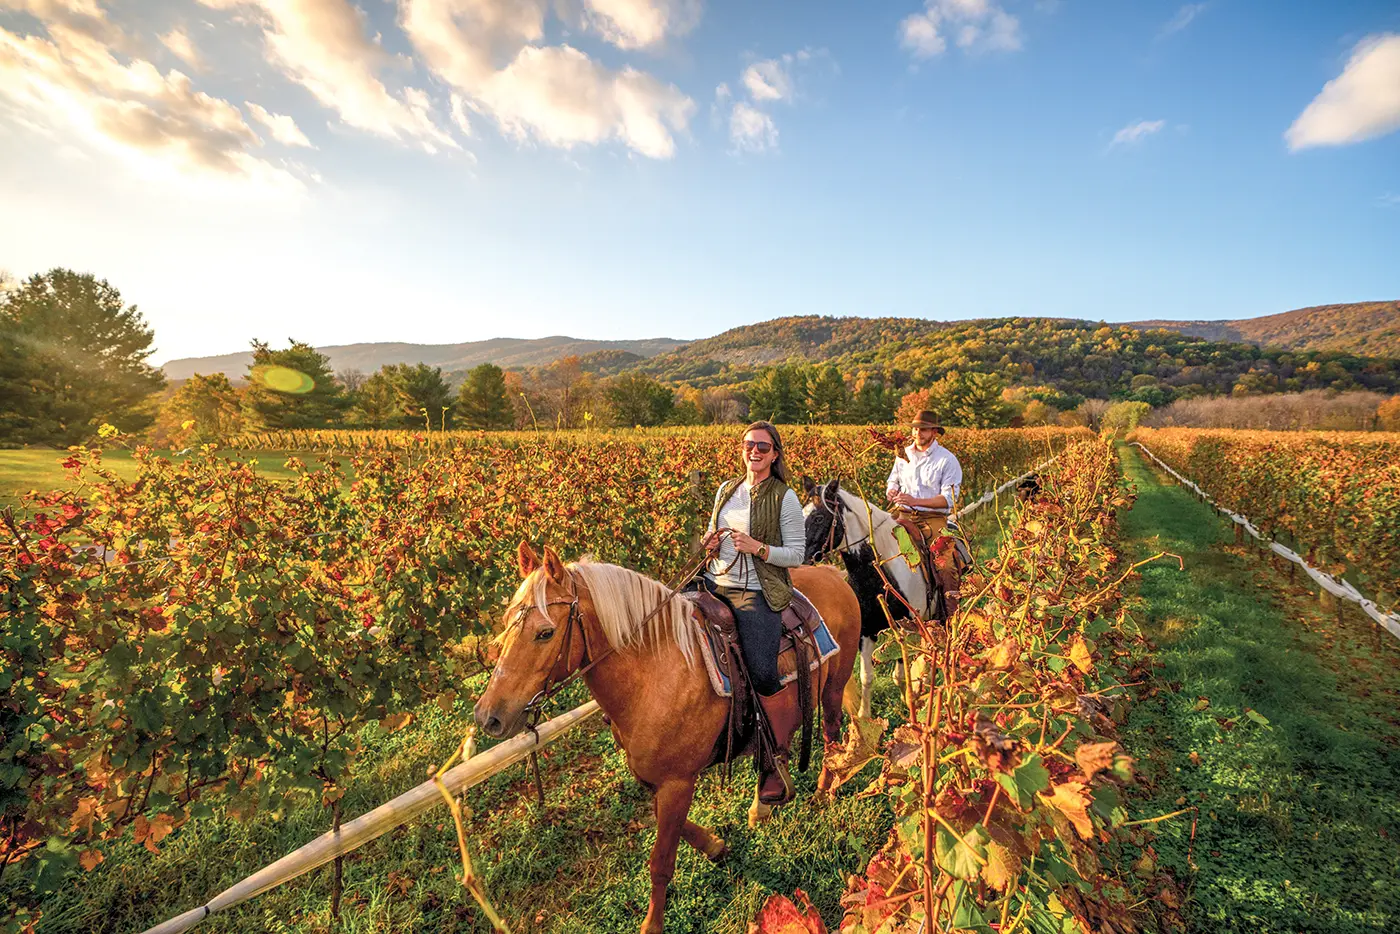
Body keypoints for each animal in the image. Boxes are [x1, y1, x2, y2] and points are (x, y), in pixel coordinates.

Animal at [476, 540, 856, 934]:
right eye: (505, 625)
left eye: (545, 633)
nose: (488, 716)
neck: (655, 671)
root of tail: (829, 573)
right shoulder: (651, 777)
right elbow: (677, 829)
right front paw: (716, 846)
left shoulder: (678, 782)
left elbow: (660, 861)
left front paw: (652, 924)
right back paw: (764, 801)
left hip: (833, 687)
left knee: (832, 734)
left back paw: (826, 790)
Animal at [800, 478, 952, 722]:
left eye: (819, 517)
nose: (801, 558)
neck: (876, 576)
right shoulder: (866, 632)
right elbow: (866, 676)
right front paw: (864, 716)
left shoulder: (902, 628)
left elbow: (900, 672)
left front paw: (910, 700)